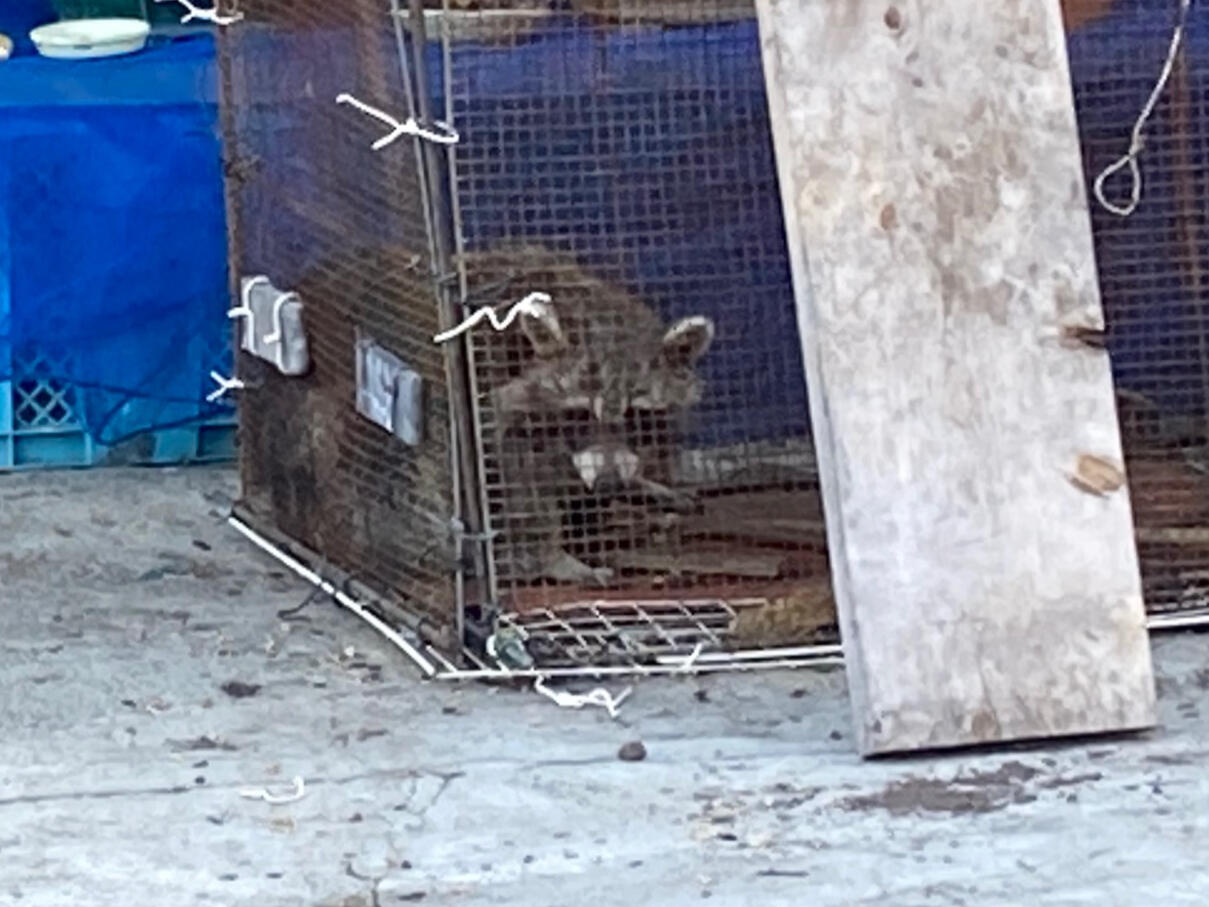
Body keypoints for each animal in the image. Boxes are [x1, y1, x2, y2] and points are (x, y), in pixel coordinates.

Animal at [457, 246, 710, 590]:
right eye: (580, 414)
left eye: (635, 415)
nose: (608, 484)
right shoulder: (496, 399)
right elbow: (516, 477)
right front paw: (552, 558)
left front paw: (633, 484)